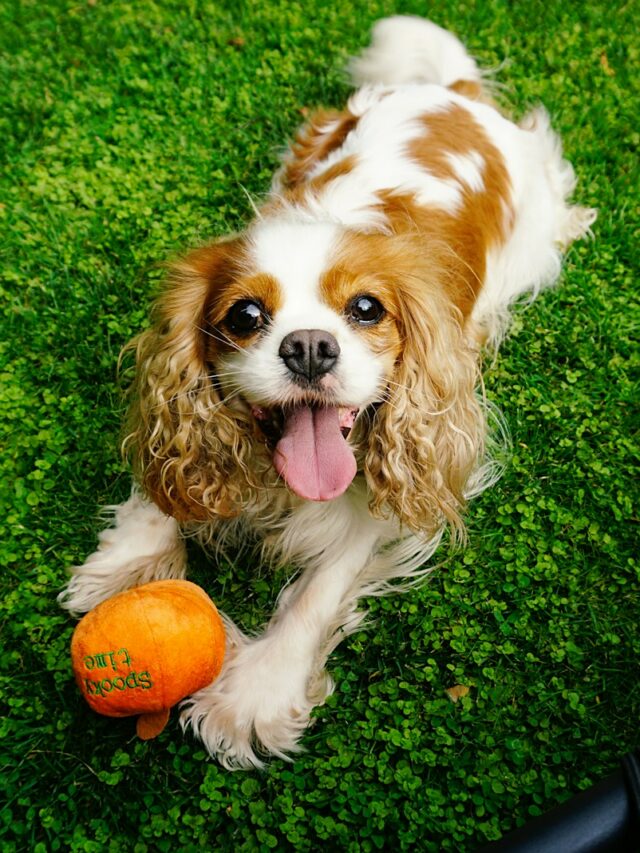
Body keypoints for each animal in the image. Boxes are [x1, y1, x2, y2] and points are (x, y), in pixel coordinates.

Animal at [60, 16, 596, 768]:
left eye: (367, 309)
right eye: (245, 316)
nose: (310, 346)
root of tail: (454, 95)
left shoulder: (393, 486)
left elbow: (323, 584)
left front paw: (254, 694)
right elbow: (162, 488)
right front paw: (132, 562)